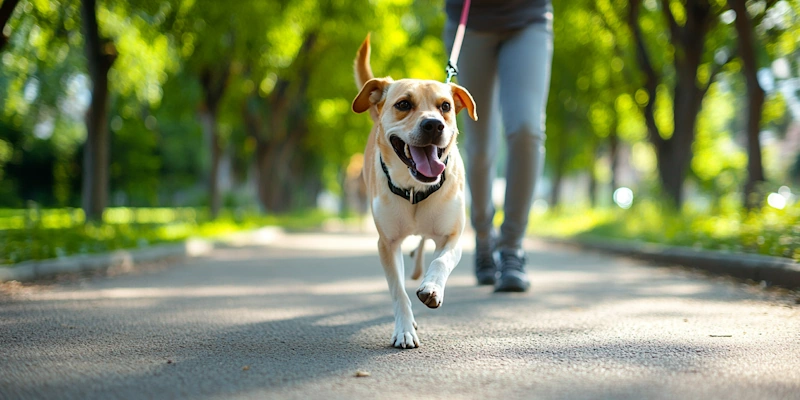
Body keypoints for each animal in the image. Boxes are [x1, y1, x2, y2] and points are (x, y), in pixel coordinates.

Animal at [350, 33, 476, 346]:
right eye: (404, 104)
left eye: (445, 106)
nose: (433, 125)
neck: (415, 189)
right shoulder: (387, 243)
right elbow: (398, 291)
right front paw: (404, 329)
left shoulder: (453, 235)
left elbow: (442, 260)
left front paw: (432, 287)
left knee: (425, 242)